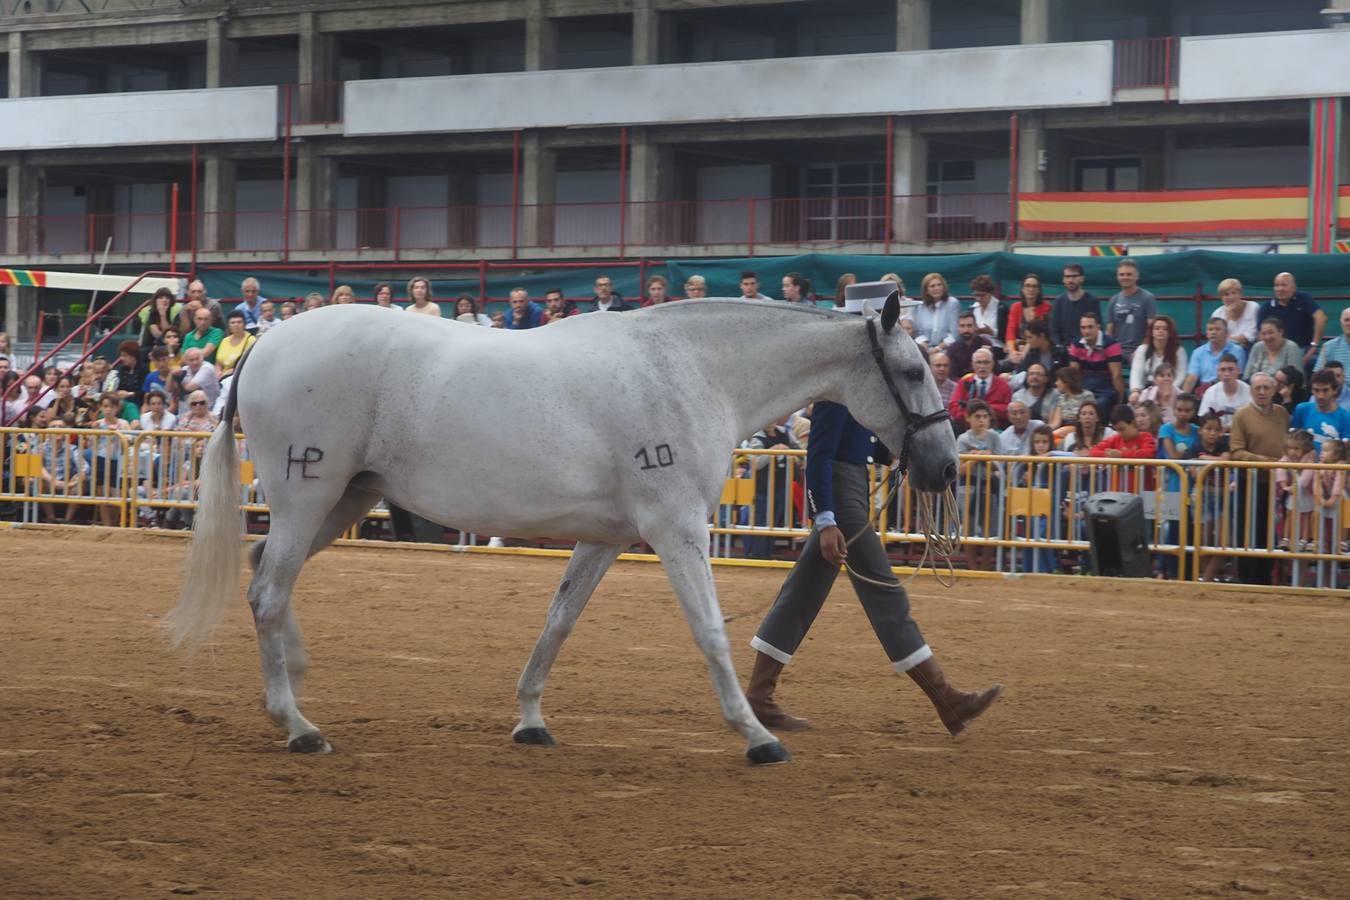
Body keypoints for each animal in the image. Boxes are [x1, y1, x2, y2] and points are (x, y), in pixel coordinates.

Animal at [168, 299, 961, 766]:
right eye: (910, 370)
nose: (944, 467)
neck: (692, 373)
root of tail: (265, 344)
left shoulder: (607, 536)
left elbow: (559, 620)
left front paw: (529, 720)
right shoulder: (676, 528)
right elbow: (709, 631)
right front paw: (757, 735)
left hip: (343, 500)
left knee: (265, 568)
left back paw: (293, 690)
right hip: (309, 493)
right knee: (269, 590)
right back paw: (298, 725)